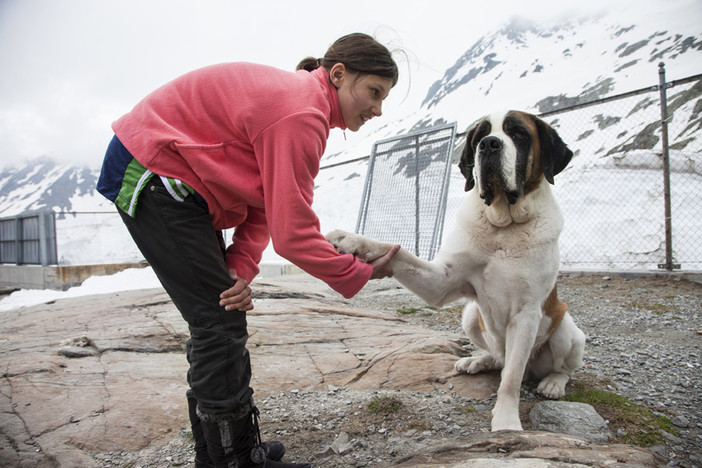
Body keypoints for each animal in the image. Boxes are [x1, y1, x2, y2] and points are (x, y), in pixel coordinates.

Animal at [328, 109, 588, 432]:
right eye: (480, 137)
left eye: (519, 134)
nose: (489, 145)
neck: (503, 227)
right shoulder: (443, 280)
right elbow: (399, 253)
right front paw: (353, 241)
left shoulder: (527, 313)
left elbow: (511, 381)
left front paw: (506, 422)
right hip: (470, 316)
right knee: (500, 358)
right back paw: (479, 361)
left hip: (566, 327)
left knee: (551, 367)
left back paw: (553, 383)